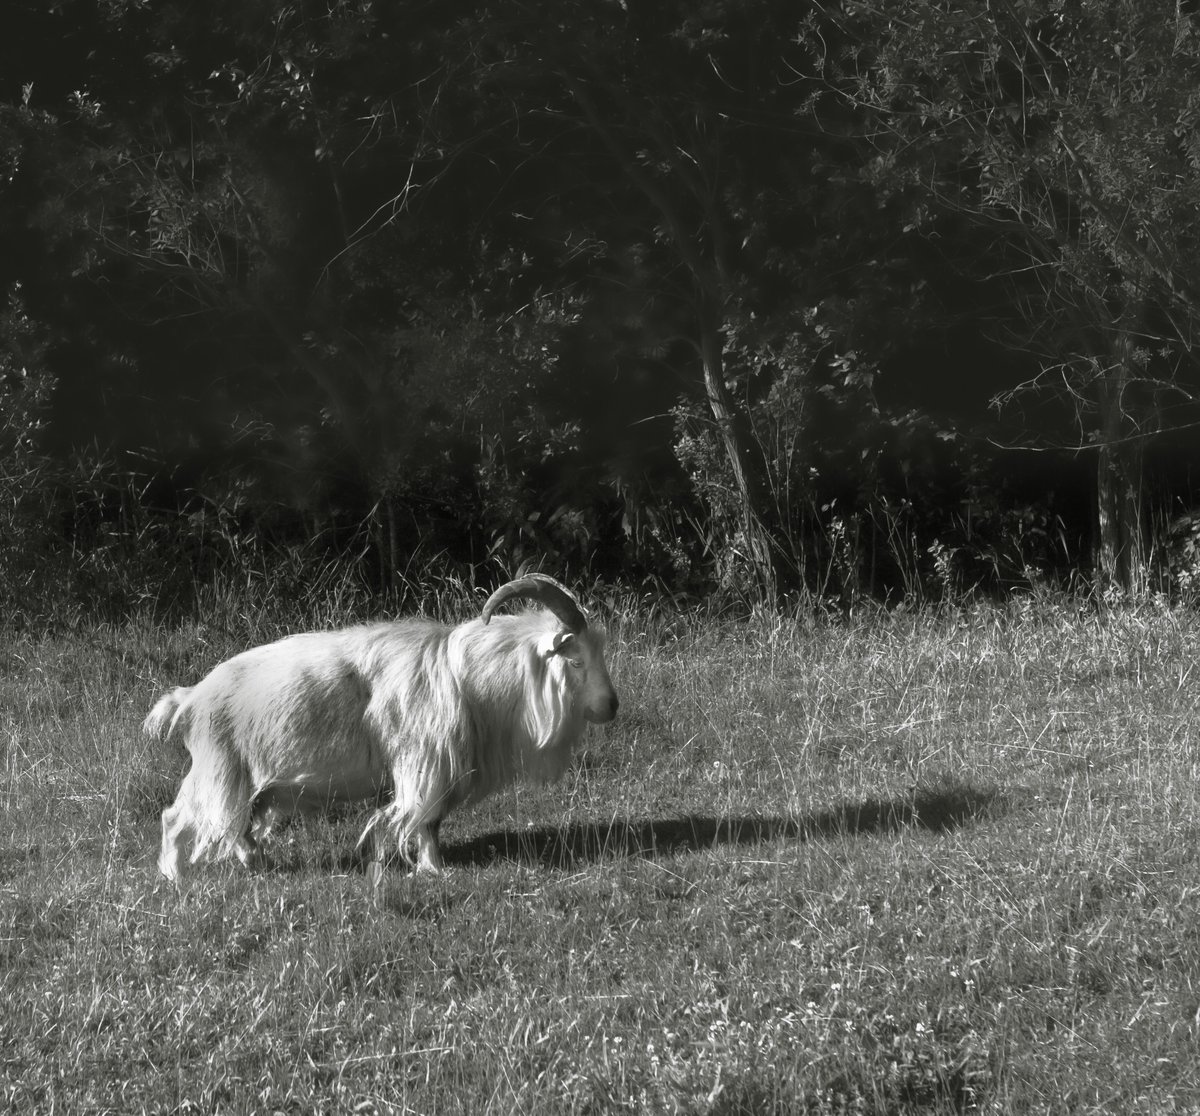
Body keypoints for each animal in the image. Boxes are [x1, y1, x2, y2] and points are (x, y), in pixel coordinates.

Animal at [145, 574, 618, 881]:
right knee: (176, 819)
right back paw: (175, 879)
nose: (611, 706)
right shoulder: (423, 765)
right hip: (220, 771)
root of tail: (189, 698)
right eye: (576, 660)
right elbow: (422, 819)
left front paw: (430, 866)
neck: (467, 679)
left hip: (247, 783)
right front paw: (433, 869)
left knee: (236, 830)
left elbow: (431, 822)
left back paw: (256, 863)